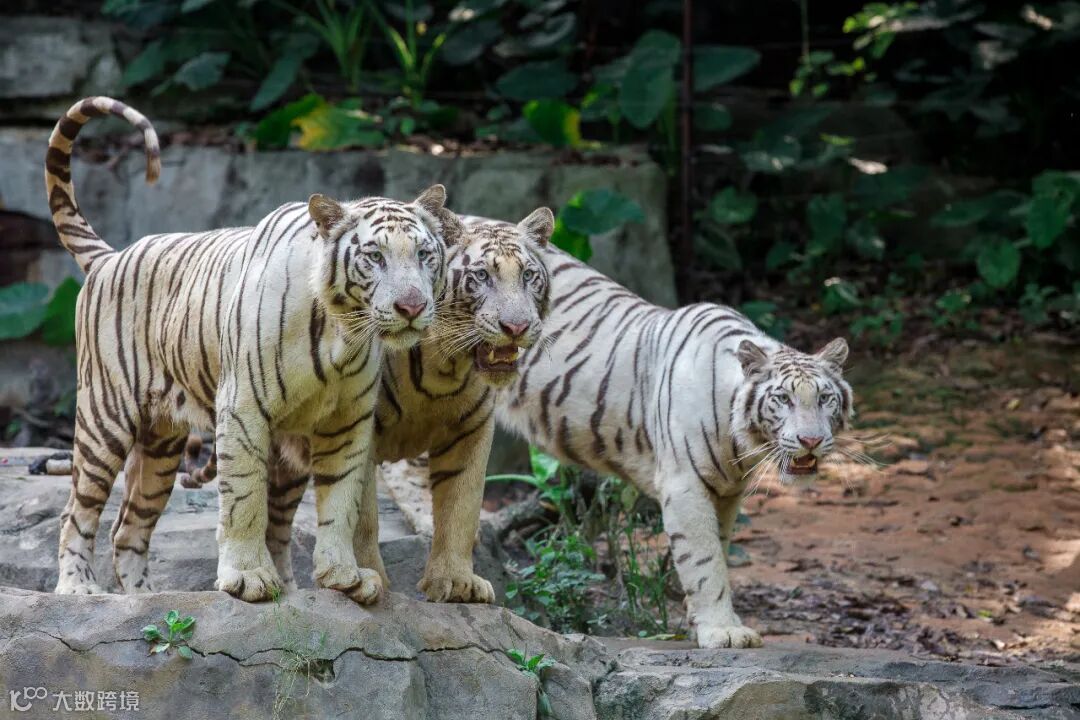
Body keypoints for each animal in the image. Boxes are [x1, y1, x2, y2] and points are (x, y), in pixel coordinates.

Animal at [46, 96, 462, 605]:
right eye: (375, 257)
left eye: (424, 255)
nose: (412, 306)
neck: (342, 336)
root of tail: (111, 256)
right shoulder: (243, 409)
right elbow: (244, 500)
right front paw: (247, 578)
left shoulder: (347, 422)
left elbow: (340, 502)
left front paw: (342, 573)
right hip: (105, 417)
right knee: (78, 511)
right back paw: (78, 587)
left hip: (163, 445)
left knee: (129, 529)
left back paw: (147, 598)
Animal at [121, 210, 556, 603]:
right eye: (481, 276)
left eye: (528, 276)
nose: (517, 327)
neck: (444, 366)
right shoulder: (365, 429)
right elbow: (363, 517)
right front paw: (373, 579)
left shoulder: (470, 432)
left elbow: (461, 510)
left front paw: (457, 583)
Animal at [493, 243, 854, 648]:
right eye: (783, 399)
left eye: (825, 399)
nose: (812, 440)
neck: (740, 440)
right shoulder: (685, 485)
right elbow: (704, 560)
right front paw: (723, 631)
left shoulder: (726, 492)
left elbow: (719, 550)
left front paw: (704, 620)